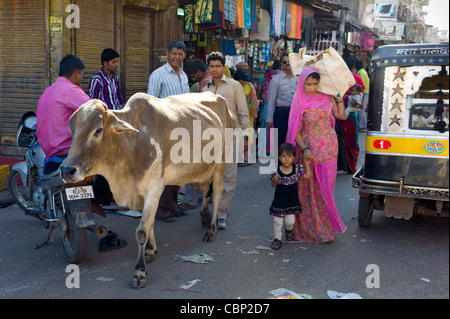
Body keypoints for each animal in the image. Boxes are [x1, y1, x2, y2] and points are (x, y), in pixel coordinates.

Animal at [60, 91, 239, 288]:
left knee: (217, 193)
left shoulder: (154, 188)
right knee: (206, 189)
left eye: (98, 129)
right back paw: (205, 218)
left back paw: (212, 229)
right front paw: (151, 251)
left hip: (221, 163)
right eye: (71, 128)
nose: (66, 170)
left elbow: (142, 231)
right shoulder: (143, 194)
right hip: (206, 166)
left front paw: (140, 271)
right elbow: (150, 223)